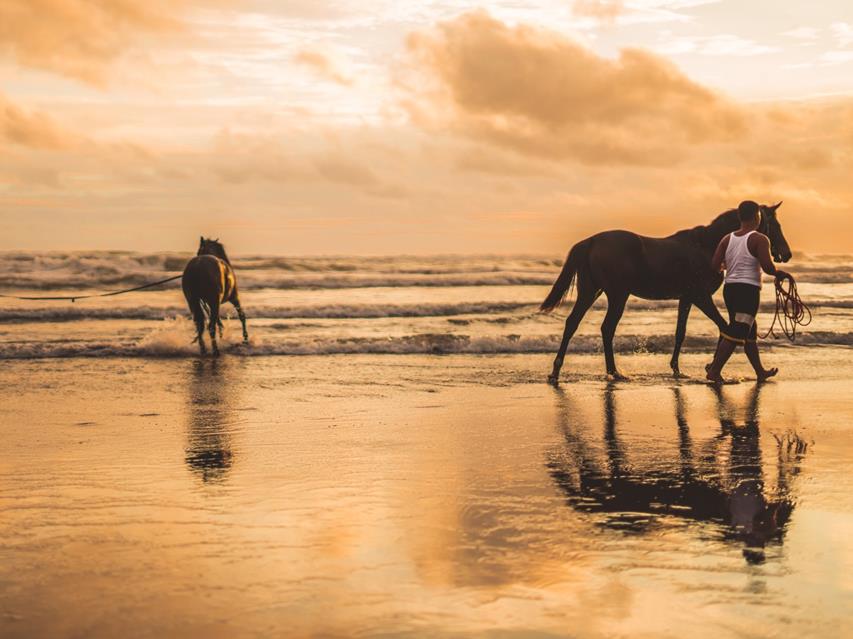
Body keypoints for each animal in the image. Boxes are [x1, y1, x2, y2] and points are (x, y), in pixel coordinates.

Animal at [540, 203, 792, 383]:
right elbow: (724, 328)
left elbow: (681, 333)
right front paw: (712, 368)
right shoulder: (701, 297)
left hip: (591, 291)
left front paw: (677, 369)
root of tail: (591, 241)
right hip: (617, 295)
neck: (706, 245)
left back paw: (557, 371)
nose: (787, 254)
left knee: (573, 323)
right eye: (775, 226)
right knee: (606, 328)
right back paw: (615, 372)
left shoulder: (686, 299)